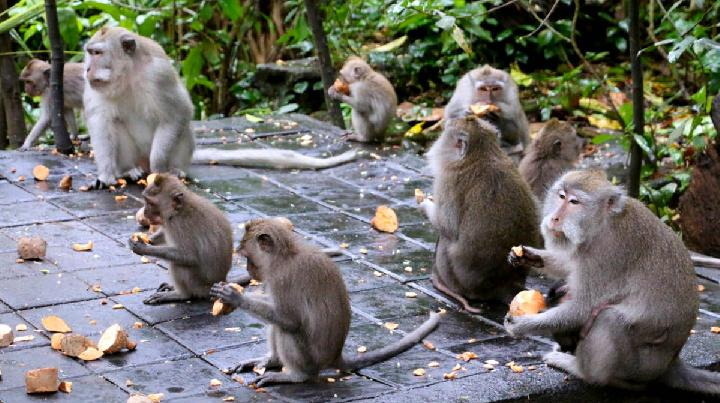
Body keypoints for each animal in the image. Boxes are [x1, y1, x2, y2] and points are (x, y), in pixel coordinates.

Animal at [83, 27, 358, 188]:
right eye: (89, 52)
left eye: (97, 53)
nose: (86, 69)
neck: (128, 74)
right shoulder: (96, 89)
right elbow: (100, 124)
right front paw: (106, 174)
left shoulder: (158, 76)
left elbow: (177, 114)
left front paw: (159, 169)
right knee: (115, 126)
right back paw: (129, 169)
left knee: (181, 129)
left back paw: (174, 171)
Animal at [128, 173, 233, 304]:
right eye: (146, 200)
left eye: (150, 203)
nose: (145, 212)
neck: (178, 210)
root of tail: (218, 283)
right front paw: (149, 240)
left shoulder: (180, 225)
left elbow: (189, 256)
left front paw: (143, 248)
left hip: (197, 284)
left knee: (178, 264)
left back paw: (180, 295)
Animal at [209, 217, 440, 386]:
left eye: (248, 257)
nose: (249, 270)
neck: (285, 255)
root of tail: (335, 356)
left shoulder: (282, 278)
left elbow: (290, 319)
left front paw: (236, 297)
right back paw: (272, 361)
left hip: (310, 359)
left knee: (287, 328)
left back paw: (296, 376)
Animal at [419, 116, 540, 313]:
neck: (482, 153)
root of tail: (505, 284)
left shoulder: (448, 180)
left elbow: (447, 226)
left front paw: (424, 205)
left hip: (460, 282)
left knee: (445, 239)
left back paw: (441, 283)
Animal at [505, 170, 720, 394]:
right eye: (561, 196)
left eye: (574, 202)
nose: (555, 217)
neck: (602, 224)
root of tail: (670, 363)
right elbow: (569, 264)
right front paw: (530, 257)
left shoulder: (606, 254)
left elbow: (581, 309)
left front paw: (522, 325)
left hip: (640, 366)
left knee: (608, 319)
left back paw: (582, 371)